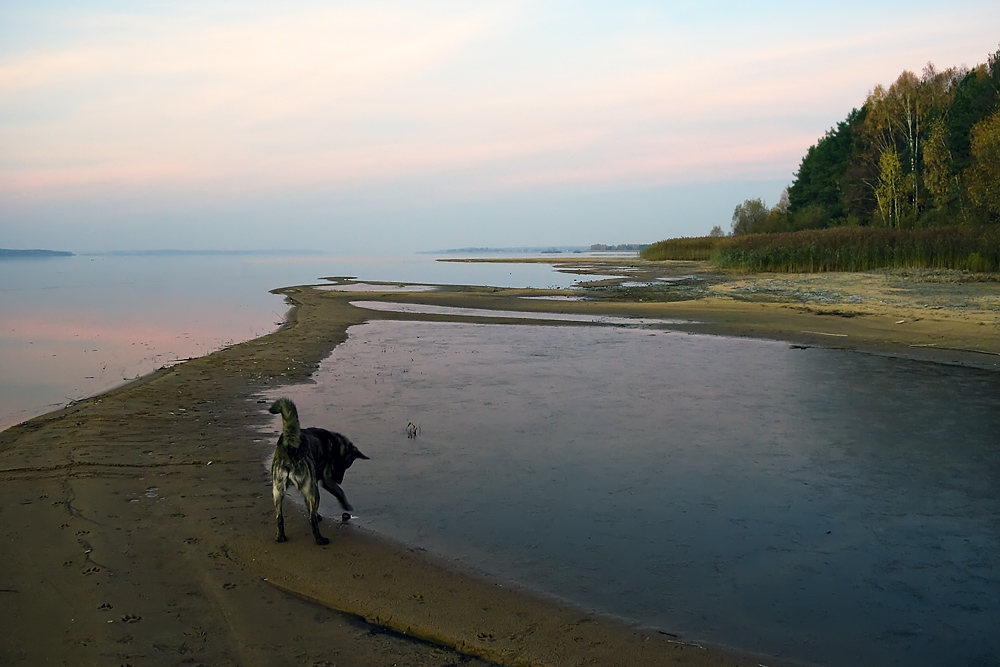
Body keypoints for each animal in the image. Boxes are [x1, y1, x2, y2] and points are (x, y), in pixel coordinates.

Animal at [268, 400, 370, 544]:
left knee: (279, 517)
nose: (339, 480)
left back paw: (280, 537)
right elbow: (339, 491)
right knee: (312, 520)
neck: (335, 443)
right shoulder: (325, 480)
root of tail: (291, 446)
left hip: (278, 491)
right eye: (344, 466)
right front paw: (346, 504)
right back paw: (320, 539)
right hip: (313, 491)